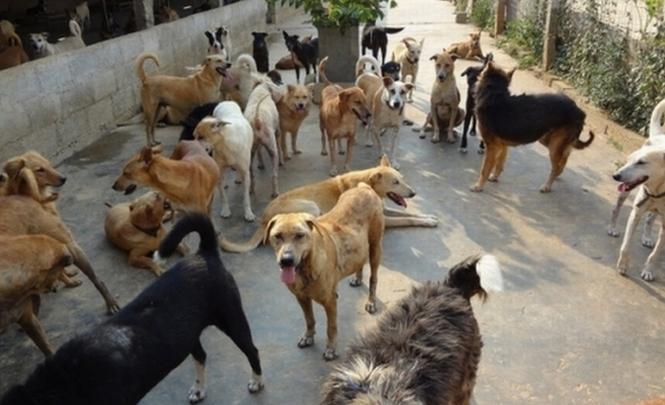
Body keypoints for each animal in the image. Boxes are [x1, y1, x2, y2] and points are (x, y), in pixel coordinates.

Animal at [1, 214, 264, 404]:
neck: (68, 380)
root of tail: (204, 254)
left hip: (232, 318)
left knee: (252, 350)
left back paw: (257, 382)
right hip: (188, 334)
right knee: (201, 355)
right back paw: (199, 390)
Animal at [219, 155, 438, 253]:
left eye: (402, 179)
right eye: (395, 182)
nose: (413, 193)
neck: (367, 184)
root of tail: (264, 219)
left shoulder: (385, 210)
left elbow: (411, 214)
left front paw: (429, 217)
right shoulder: (385, 218)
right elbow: (408, 219)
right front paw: (427, 222)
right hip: (311, 206)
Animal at [265, 183, 385, 360]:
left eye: (300, 235)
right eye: (277, 236)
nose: (286, 260)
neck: (306, 268)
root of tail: (364, 187)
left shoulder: (330, 302)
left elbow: (331, 327)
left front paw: (331, 348)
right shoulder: (301, 298)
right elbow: (309, 319)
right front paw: (308, 336)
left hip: (375, 247)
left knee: (373, 278)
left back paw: (371, 301)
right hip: (359, 245)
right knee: (359, 261)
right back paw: (357, 278)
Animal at [471, 62, 594, 192]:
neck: (494, 95)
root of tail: (580, 112)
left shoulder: (492, 146)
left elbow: (485, 169)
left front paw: (478, 186)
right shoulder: (502, 146)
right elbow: (499, 164)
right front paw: (494, 177)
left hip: (554, 147)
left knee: (556, 166)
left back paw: (547, 186)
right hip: (548, 140)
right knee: (564, 158)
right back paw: (558, 175)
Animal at [613, 100, 665, 281]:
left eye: (641, 162)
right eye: (630, 160)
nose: (616, 176)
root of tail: (659, 136)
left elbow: (655, 255)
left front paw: (649, 270)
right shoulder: (636, 213)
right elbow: (625, 246)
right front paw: (622, 266)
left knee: (650, 219)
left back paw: (648, 237)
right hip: (624, 193)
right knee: (616, 209)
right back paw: (612, 228)